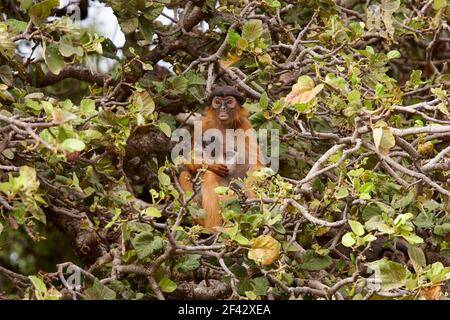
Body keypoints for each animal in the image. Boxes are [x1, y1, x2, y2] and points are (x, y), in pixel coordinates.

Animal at [178, 86, 264, 231]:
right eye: (217, 102)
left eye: (229, 102)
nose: (223, 108)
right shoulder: (204, 124)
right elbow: (189, 160)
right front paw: (212, 165)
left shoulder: (245, 125)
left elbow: (256, 166)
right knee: (186, 175)